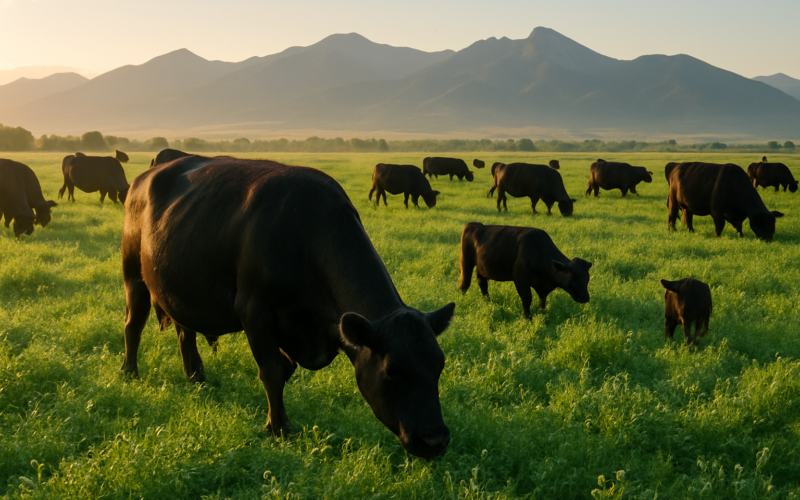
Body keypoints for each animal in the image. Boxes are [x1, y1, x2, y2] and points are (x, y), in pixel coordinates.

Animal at [121, 156, 456, 458]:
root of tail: (145, 176)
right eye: (392, 371)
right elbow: (272, 371)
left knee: (184, 332)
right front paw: (278, 427)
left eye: (439, 365)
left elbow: (286, 368)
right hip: (133, 275)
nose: (435, 440)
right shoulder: (255, 312)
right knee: (132, 325)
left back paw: (195, 376)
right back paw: (130, 372)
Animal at [459, 222, 591, 319]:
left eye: (587, 280)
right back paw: (462, 299)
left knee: (482, 283)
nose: (585, 297)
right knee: (465, 283)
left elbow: (542, 299)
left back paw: (487, 301)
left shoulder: (541, 286)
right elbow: (527, 299)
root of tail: (475, 224)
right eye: (571, 281)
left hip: (481, 268)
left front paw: (541, 312)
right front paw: (527, 317)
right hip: (466, 261)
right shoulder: (520, 280)